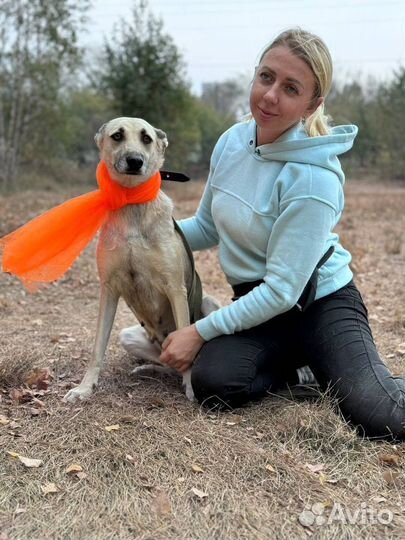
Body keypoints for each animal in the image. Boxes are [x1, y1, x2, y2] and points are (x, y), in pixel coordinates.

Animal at [62, 118, 216, 402]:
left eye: (146, 138)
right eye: (117, 136)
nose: (134, 161)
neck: (131, 203)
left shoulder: (175, 289)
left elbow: (185, 343)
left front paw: (191, 387)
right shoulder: (109, 289)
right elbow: (97, 348)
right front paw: (84, 388)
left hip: (208, 304)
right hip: (130, 336)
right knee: (167, 363)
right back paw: (150, 369)